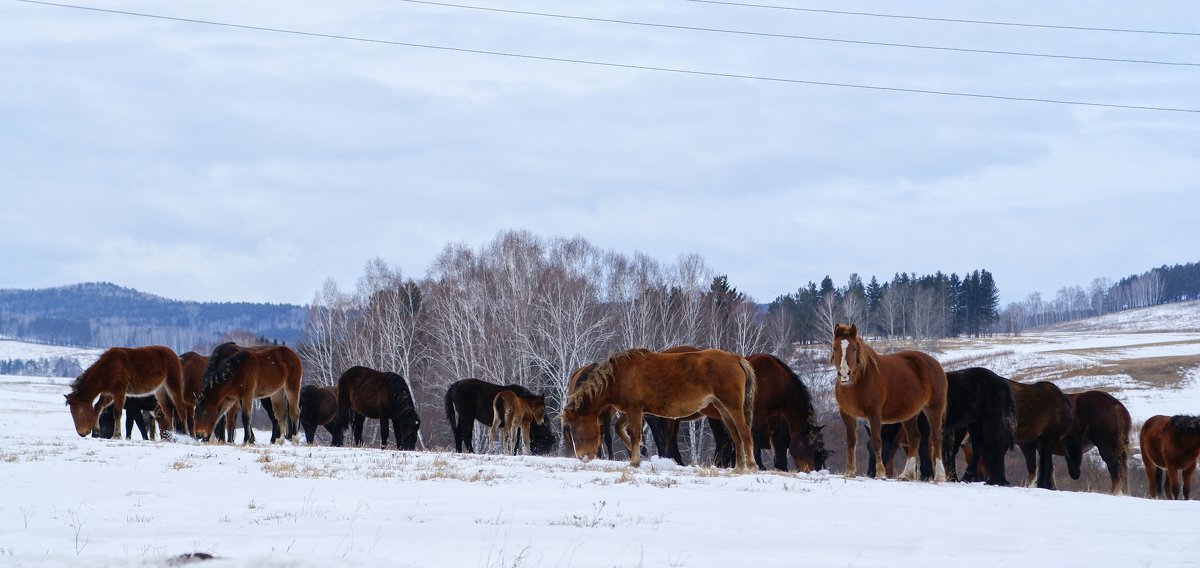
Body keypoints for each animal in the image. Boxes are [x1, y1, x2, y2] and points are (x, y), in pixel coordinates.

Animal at [559, 348, 748, 468]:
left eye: (574, 428)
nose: (582, 456)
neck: (619, 376)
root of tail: (736, 358)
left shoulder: (635, 409)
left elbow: (635, 433)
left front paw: (634, 461)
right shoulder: (633, 410)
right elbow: (621, 429)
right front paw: (637, 450)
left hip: (732, 407)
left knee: (743, 432)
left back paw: (750, 464)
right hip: (722, 410)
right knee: (735, 436)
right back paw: (740, 466)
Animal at [825, 324, 945, 477]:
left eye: (854, 349)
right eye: (834, 348)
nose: (845, 374)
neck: (858, 383)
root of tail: (936, 363)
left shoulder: (874, 414)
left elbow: (877, 441)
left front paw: (880, 473)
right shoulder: (847, 414)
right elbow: (851, 442)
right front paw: (850, 472)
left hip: (934, 408)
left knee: (936, 438)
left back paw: (939, 476)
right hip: (909, 414)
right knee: (914, 438)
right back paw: (906, 475)